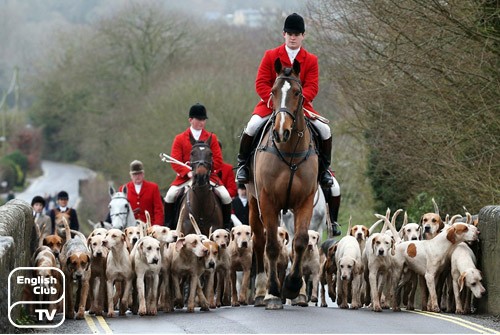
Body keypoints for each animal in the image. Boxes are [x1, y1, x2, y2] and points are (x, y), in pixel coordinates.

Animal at [246, 59, 320, 312]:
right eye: (272, 92)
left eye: (298, 92)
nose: (281, 132)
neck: (289, 151)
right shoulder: (268, 201)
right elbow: (271, 246)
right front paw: (273, 293)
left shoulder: (305, 201)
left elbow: (300, 241)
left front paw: (293, 287)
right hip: (254, 202)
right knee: (259, 242)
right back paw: (260, 292)